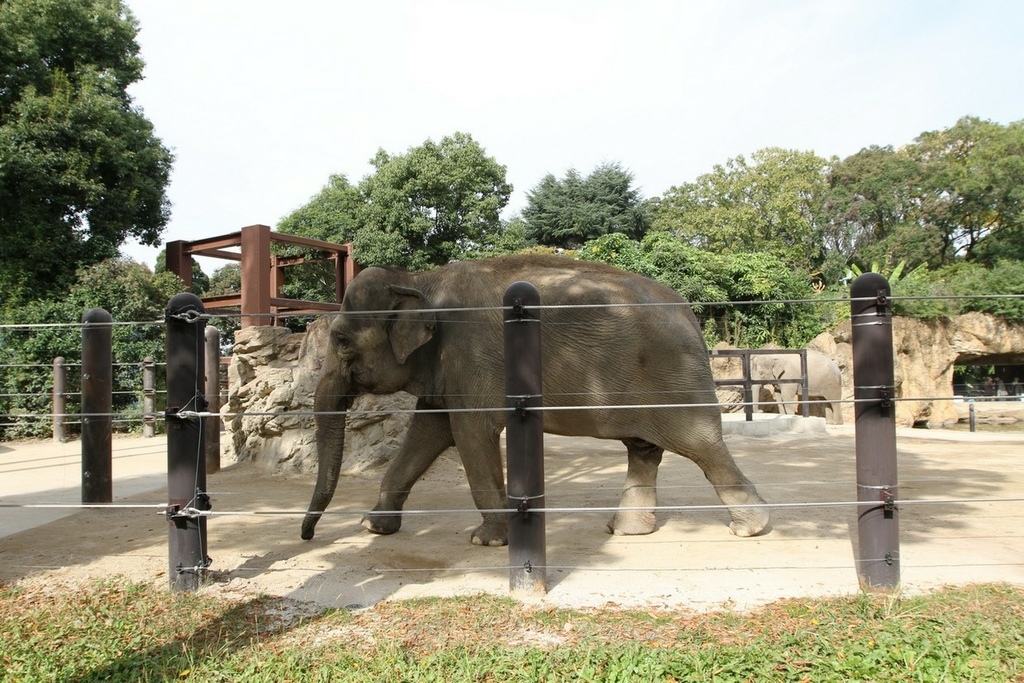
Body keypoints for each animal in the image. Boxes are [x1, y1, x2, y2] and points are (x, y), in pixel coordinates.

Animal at [299, 253, 770, 548]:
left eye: (341, 341)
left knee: (702, 447)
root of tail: (690, 313)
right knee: (644, 450)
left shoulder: (472, 356)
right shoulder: (446, 368)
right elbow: (427, 434)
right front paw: (373, 527)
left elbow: (470, 432)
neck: (418, 280)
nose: (307, 537)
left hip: (675, 380)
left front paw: (487, 540)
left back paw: (751, 529)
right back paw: (626, 532)